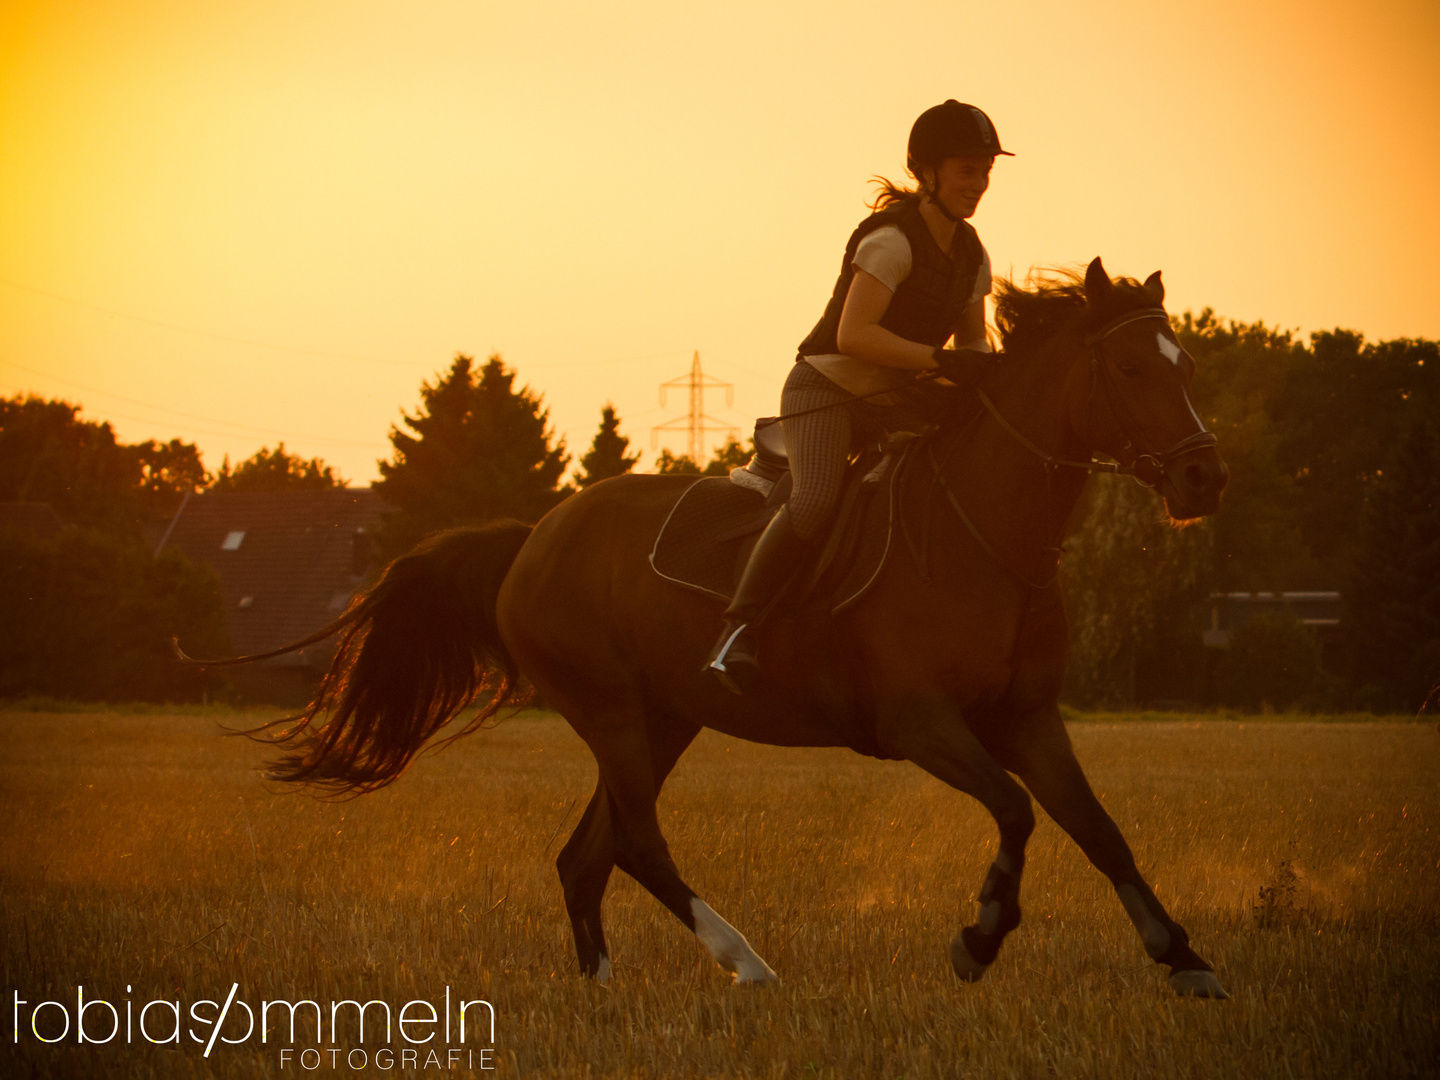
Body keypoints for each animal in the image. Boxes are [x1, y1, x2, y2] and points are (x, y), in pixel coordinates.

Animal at [221, 257, 1226, 1002]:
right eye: (1132, 369)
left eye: (1188, 366)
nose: (1204, 479)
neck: (984, 535)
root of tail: (534, 536)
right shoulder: (920, 723)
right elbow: (1017, 812)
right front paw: (977, 939)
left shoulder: (1027, 719)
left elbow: (1098, 829)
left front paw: (1183, 957)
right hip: (613, 712)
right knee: (632, 844)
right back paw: (746, 960)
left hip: (664, 718)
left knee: (586, 857)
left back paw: (604, 989)